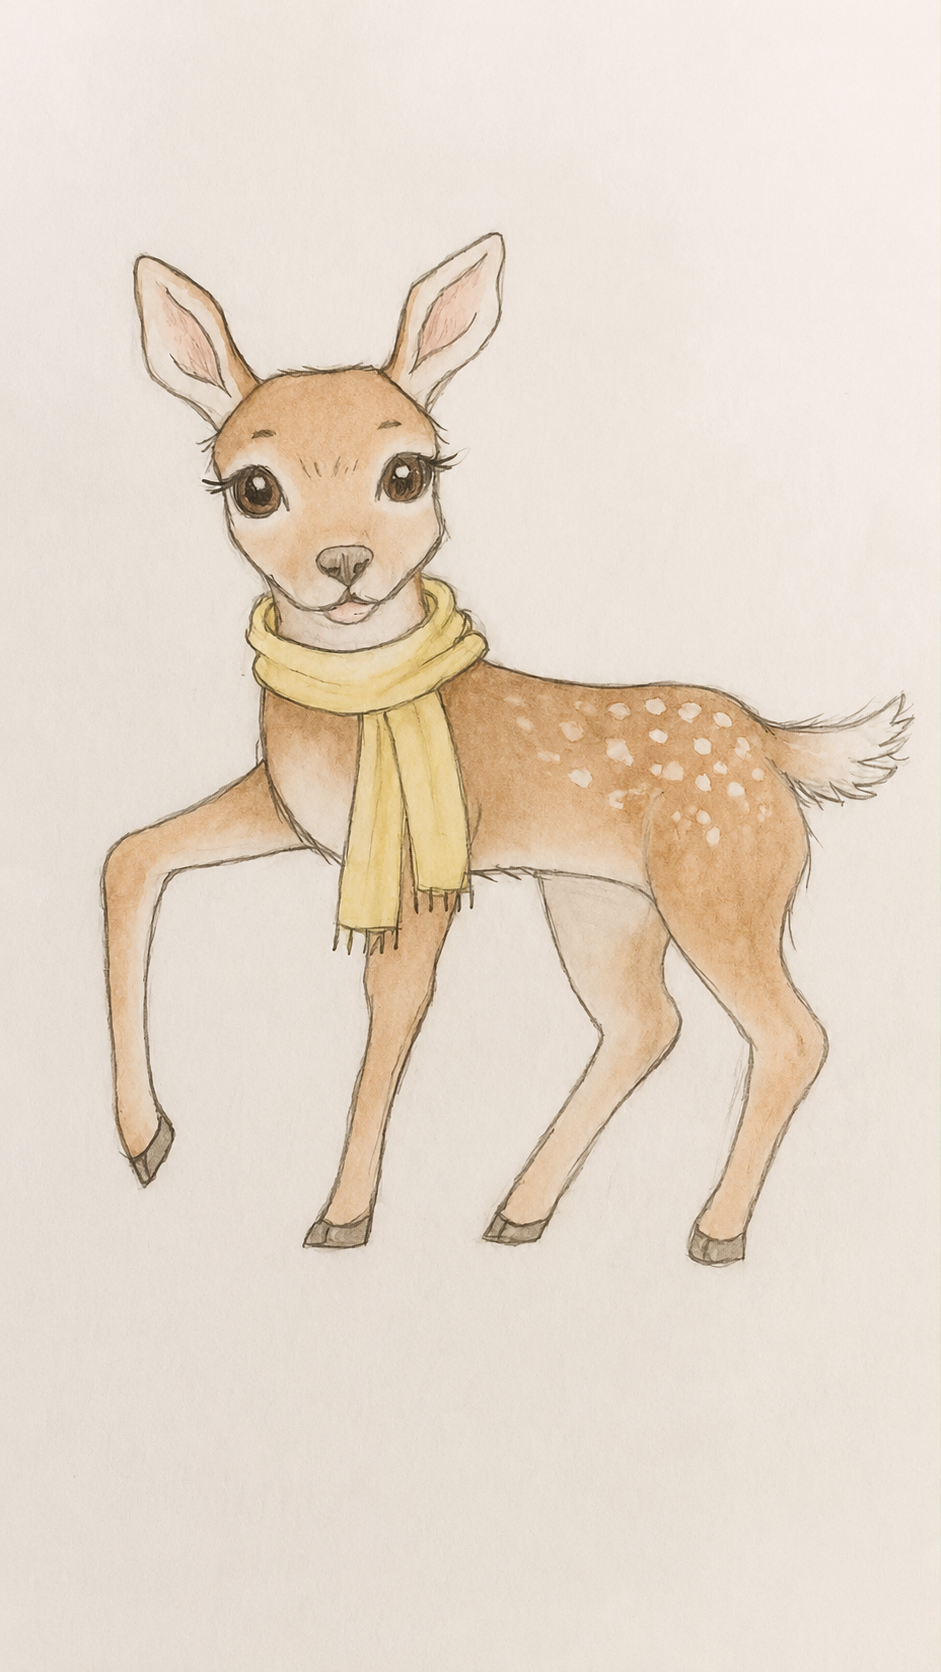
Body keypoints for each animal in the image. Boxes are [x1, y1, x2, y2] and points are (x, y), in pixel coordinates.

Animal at [103, 233, 910, 1262]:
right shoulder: (293, 810)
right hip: (601, 903)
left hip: (722, 885)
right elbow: (132, 855)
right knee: (645, 1024)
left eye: (407, 472)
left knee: (791, 1034)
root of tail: (771, 745)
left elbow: (392, 1005)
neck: (363, 708)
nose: (344, 562)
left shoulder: (417, 863)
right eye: (253, 486)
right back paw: (520, 1212)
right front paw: (145, 1139)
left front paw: (342, 1216)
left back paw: (711, 1232)